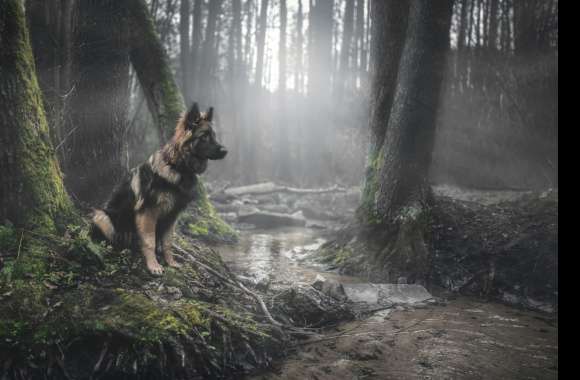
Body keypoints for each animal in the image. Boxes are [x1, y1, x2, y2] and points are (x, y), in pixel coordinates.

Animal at [90, 101, 227, 274]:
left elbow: (167, 242)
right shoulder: (148, 213)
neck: (177, 167)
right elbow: (150, 242)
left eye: (213, 136)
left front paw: (171, 262)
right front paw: (154, 266)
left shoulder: (172, 216)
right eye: (204, 136)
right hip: (102, 216)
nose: (225, 151)